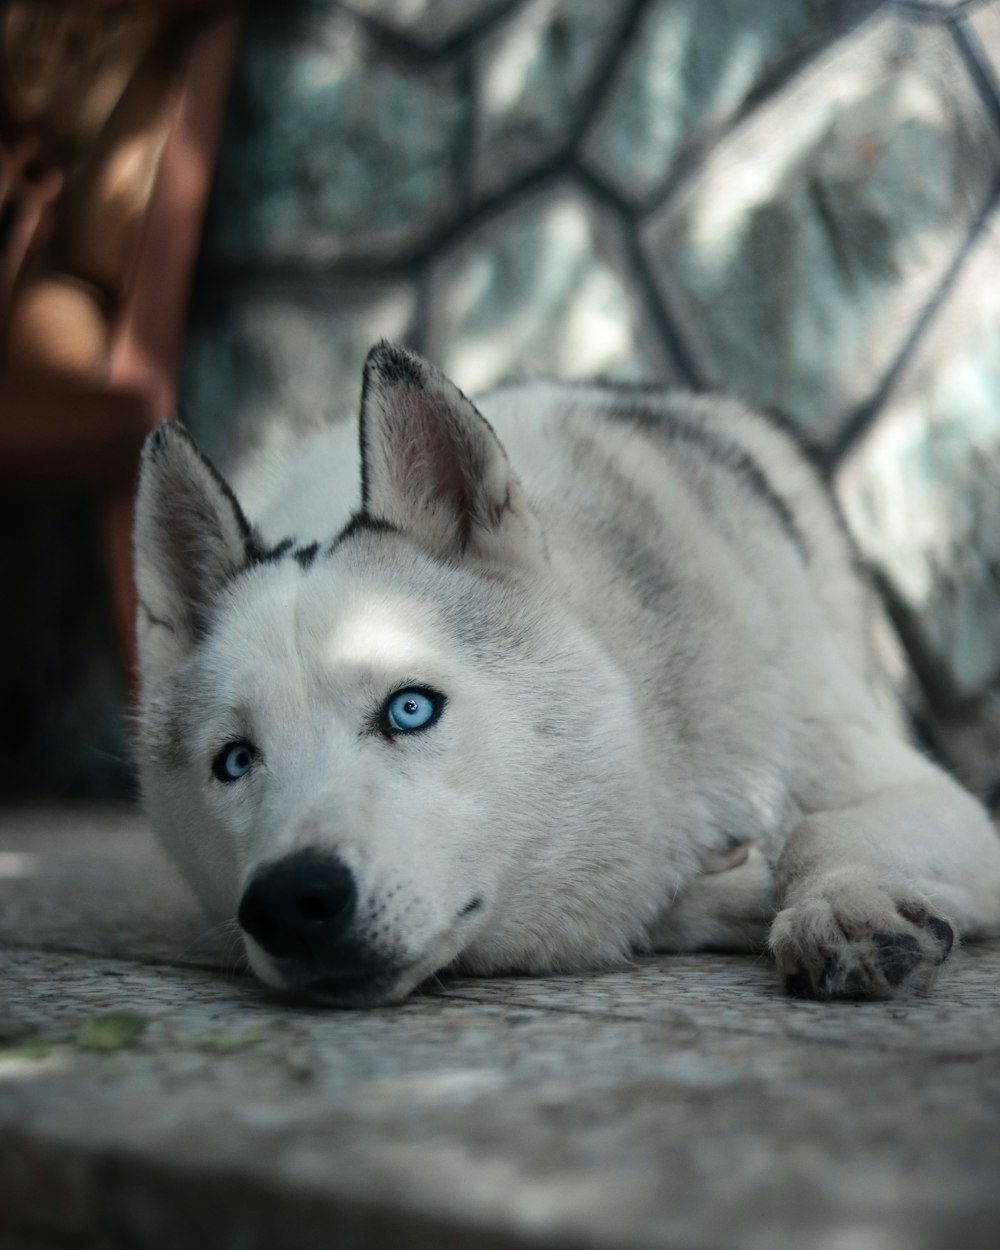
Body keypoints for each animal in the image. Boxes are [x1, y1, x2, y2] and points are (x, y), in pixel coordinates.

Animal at [132, 342, 1000, 1005]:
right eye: (234, 762)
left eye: (410, 709)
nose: (289, 900)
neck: (644, 717)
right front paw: (735, 894)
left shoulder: (936, 800)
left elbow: (816, 831)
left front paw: (841, 900)